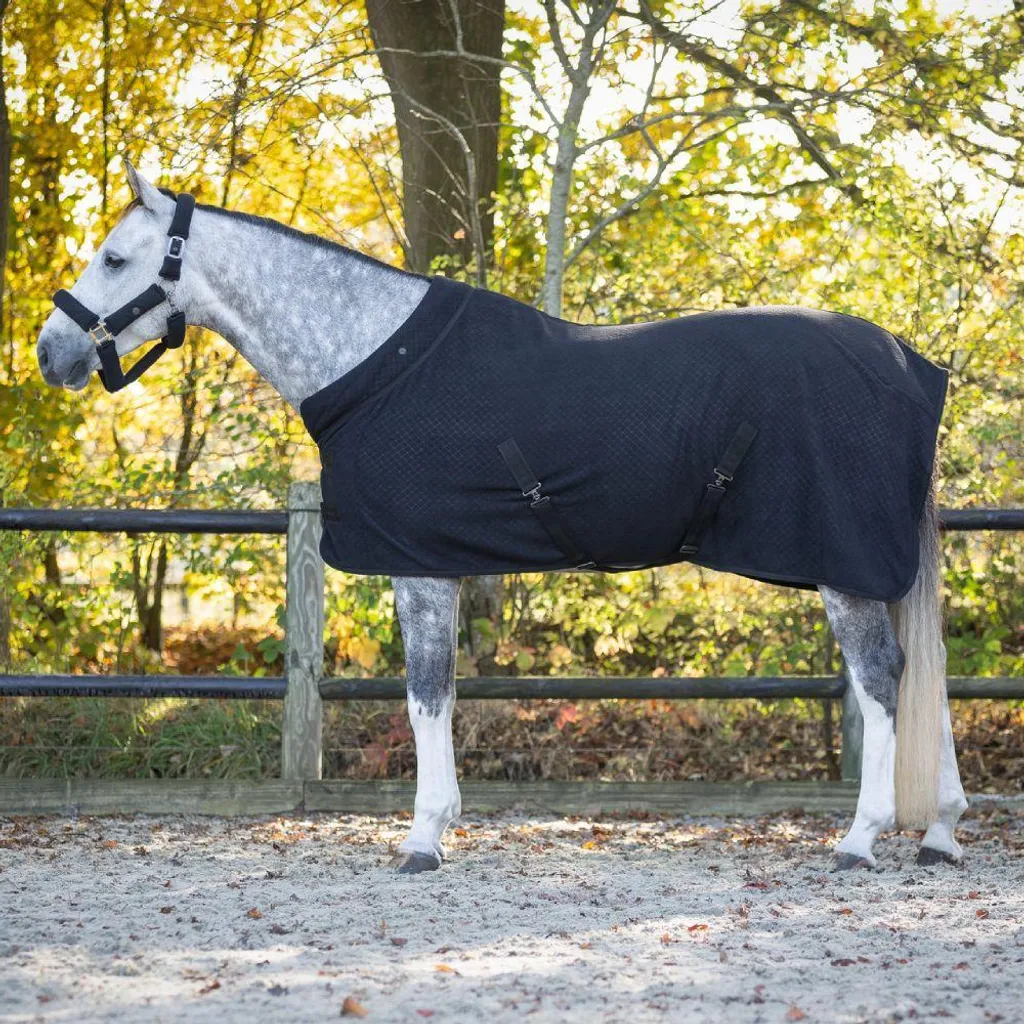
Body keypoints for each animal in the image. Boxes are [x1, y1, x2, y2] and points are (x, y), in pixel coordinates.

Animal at [36, 158, 967, 874]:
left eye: (115, 258)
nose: (51, 353)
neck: (371, 358)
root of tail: (907, 363)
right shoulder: (438, 566)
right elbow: (440, 694)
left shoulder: (418, 568)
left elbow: (425, 695)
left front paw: (422, 838)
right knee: (926, 672)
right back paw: (943, 833)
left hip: (847, 567)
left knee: (882, 679)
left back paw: (861, 841)